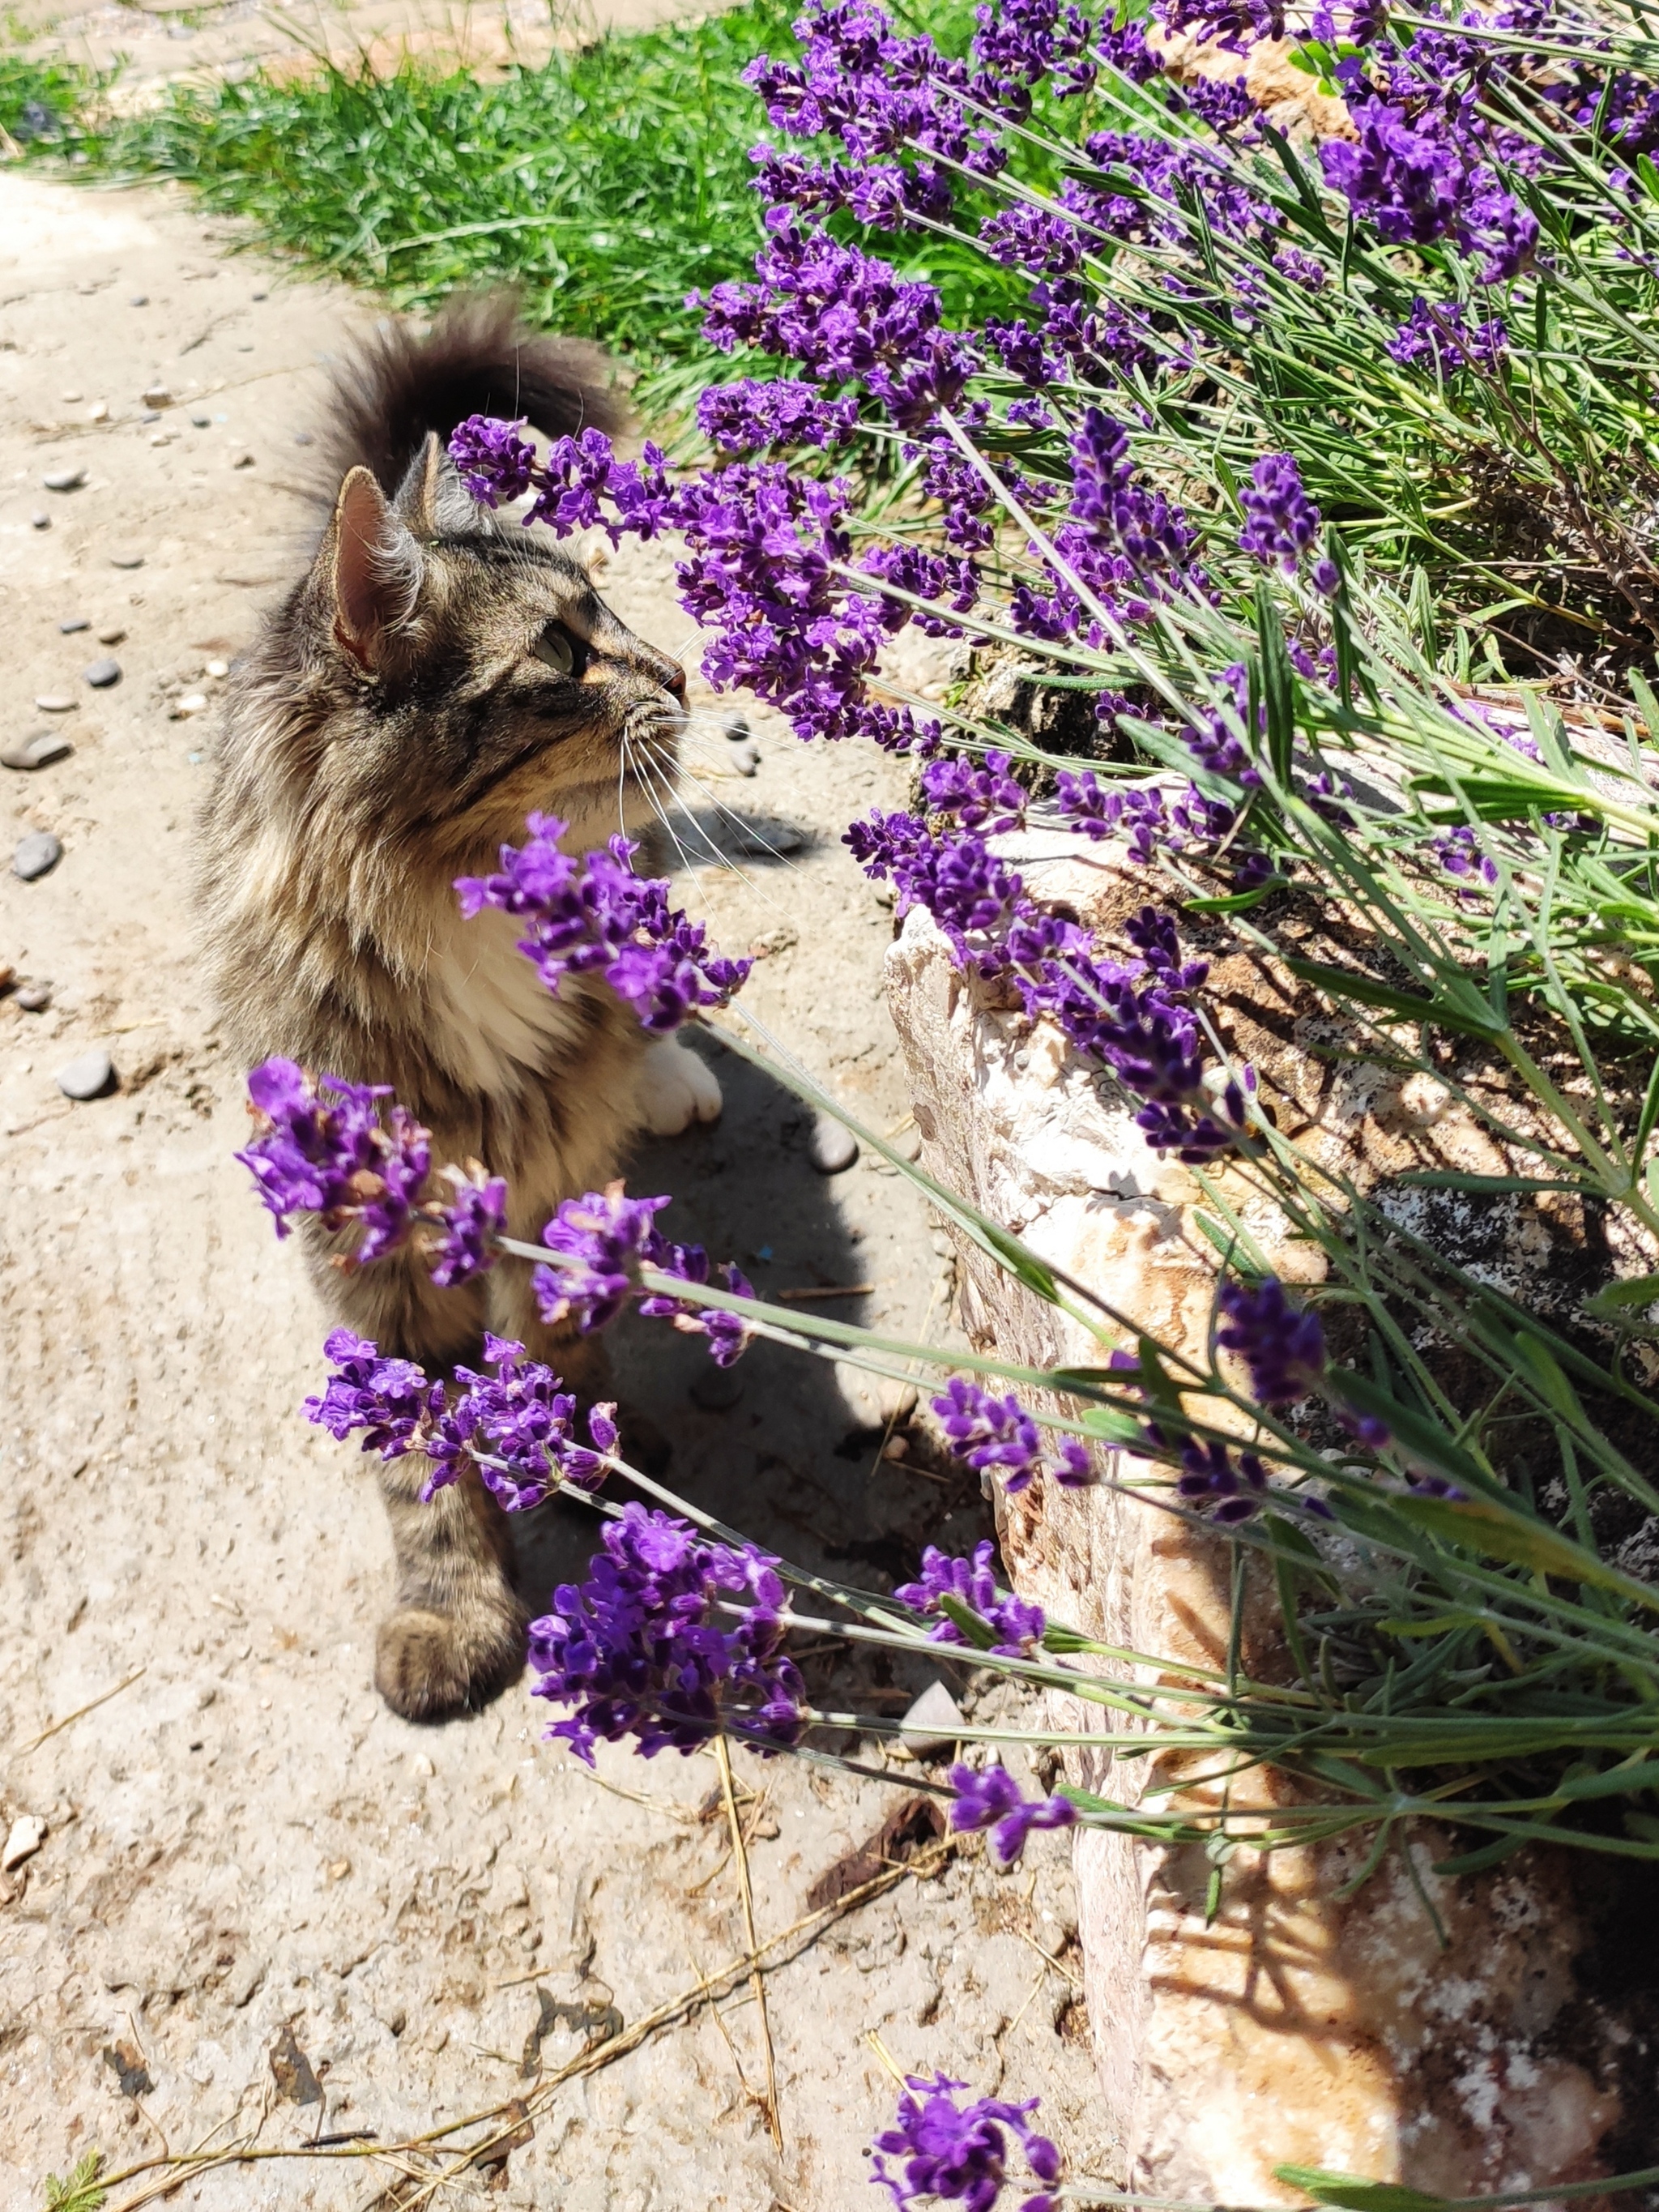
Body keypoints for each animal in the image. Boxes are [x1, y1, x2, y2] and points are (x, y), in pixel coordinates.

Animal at [198, 298, 716, 1725]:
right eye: (565, 653)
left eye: (615, 613)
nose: (686, 673)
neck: (455, 905)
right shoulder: (371, 1249)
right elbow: (423, 1459)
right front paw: (454, 1612)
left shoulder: (552, 1177)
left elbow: (563, 1349)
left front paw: (593, 1461)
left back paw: (667, 1069)